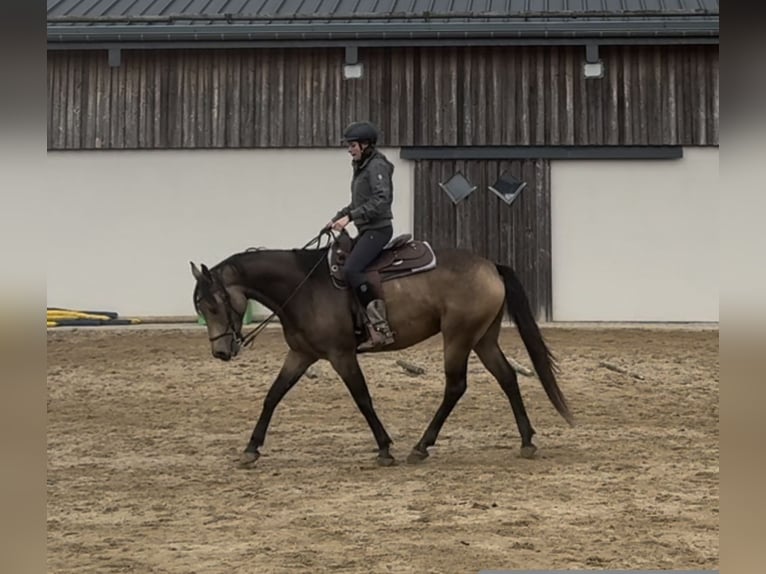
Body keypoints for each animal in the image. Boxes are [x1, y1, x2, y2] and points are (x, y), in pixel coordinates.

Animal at [192, 227, 576, 470]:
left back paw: (421, 447)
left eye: (213, 304)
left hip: (458, 337)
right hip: (483, 338)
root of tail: (490, 266)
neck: (303, 287)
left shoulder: (341, 355)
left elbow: (362, 398)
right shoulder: (301, 355)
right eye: (201, 307)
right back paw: (526, 441)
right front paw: (251, 449)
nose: (221, 352)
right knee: (507, 377)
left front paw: (385, 448)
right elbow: (273, 396)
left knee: (456, 386)